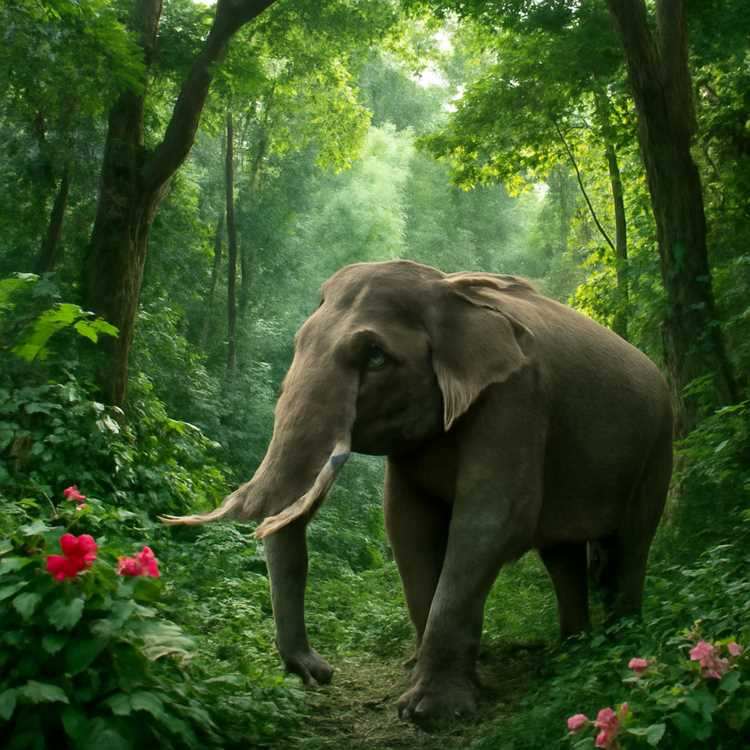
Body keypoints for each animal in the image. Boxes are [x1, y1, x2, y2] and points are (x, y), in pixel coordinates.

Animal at [163, 260, 673, 721]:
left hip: (658, 447)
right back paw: (569, 653)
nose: (320, 673)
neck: (448, 290)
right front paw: (434, 677)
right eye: (298, 343)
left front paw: (429, 711)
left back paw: (618, 649)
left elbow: (491, 522)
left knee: (632, 543)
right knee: (561, 554)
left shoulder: (518, 398)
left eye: (374, 356)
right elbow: (407, 524)